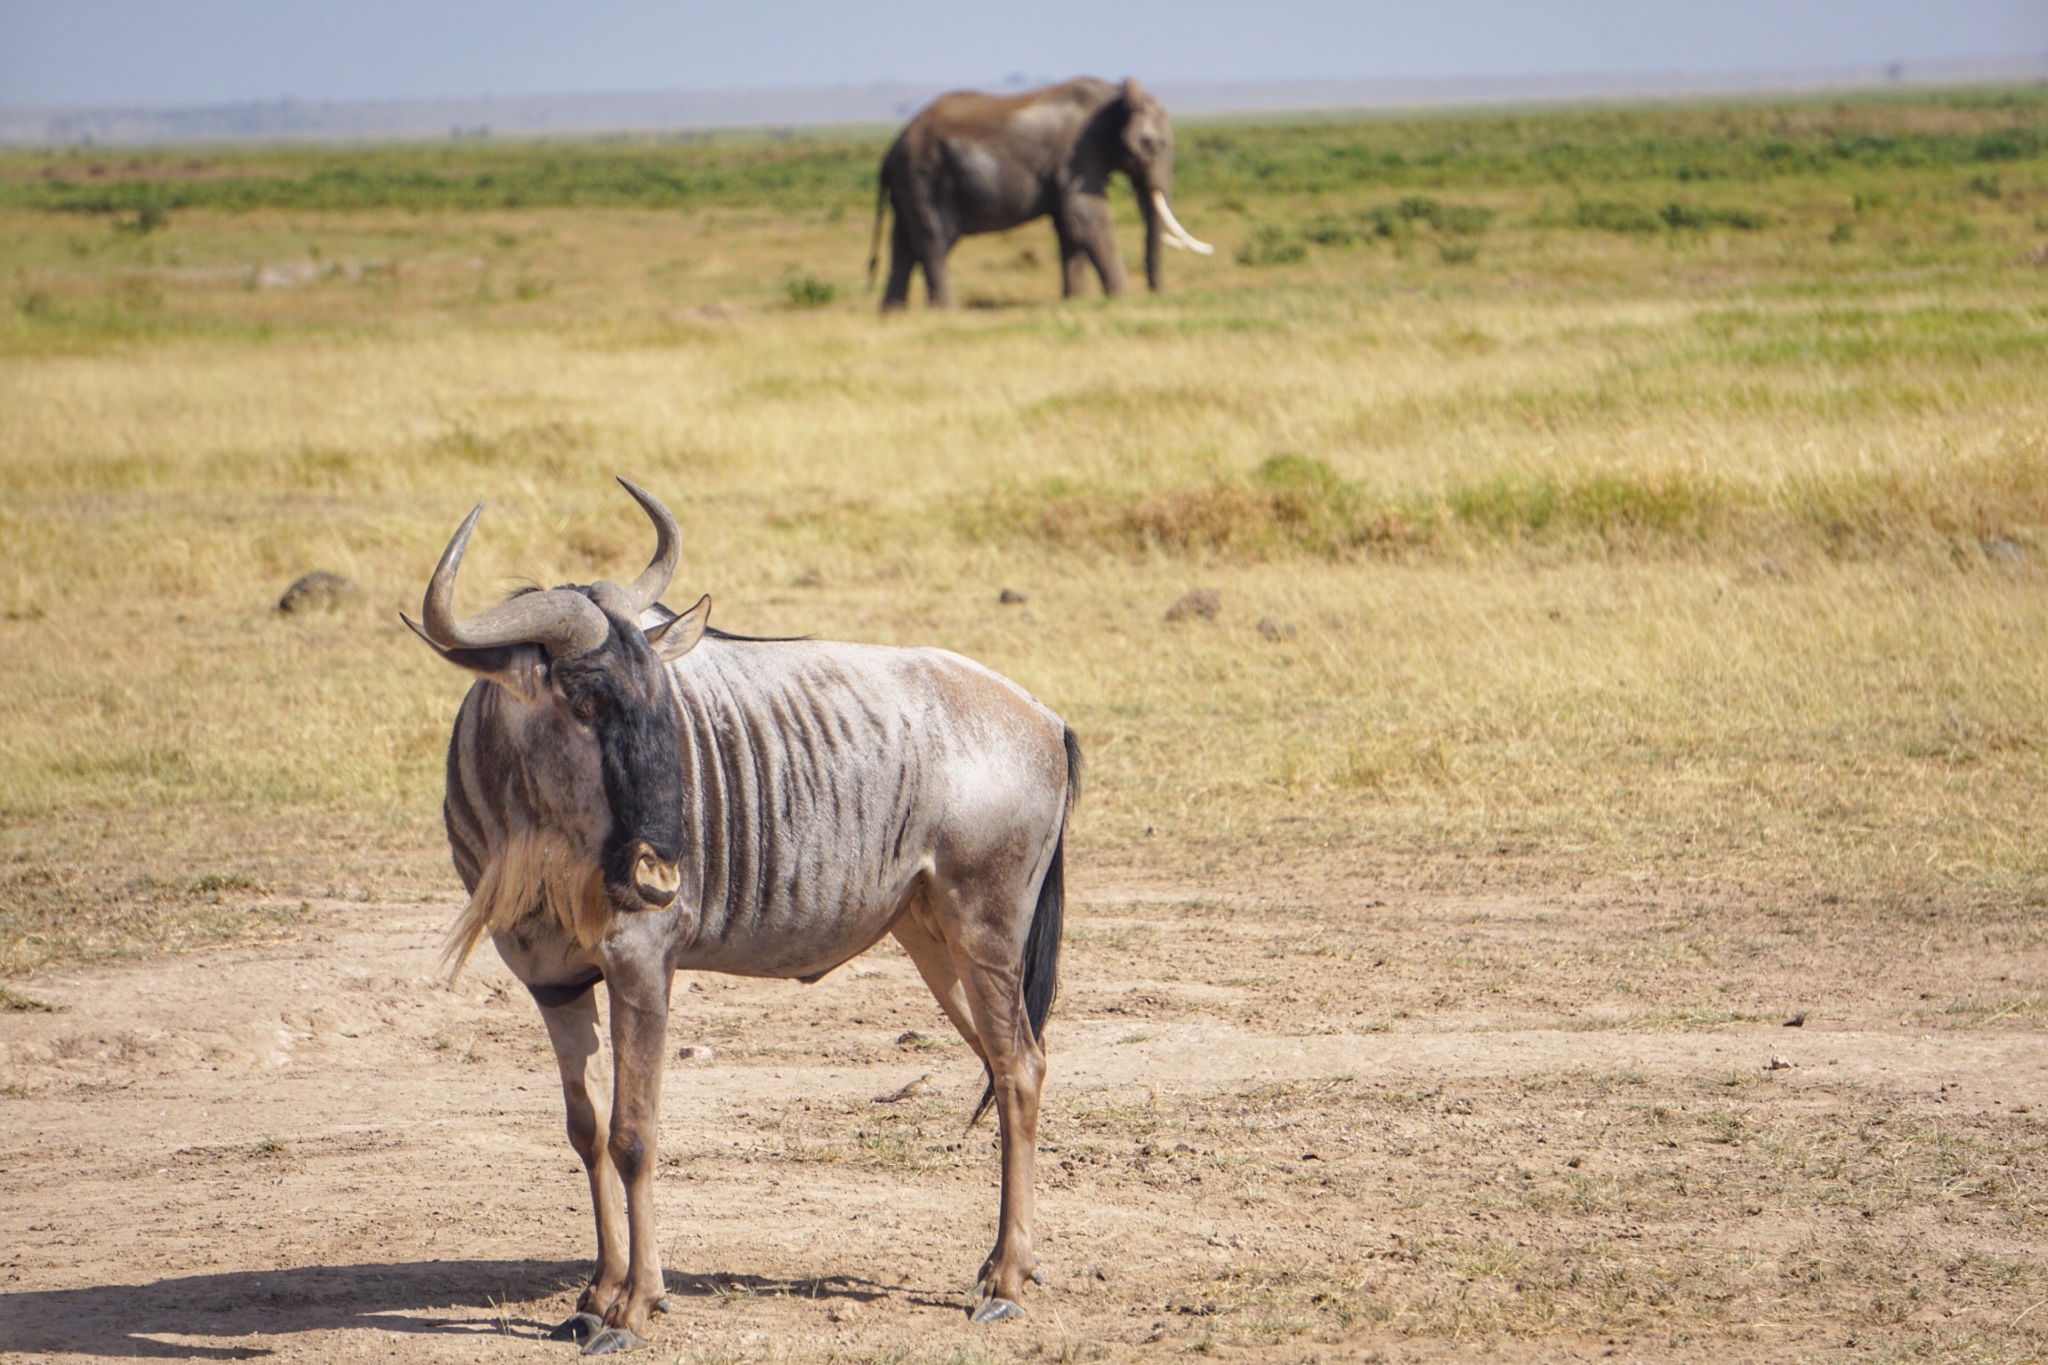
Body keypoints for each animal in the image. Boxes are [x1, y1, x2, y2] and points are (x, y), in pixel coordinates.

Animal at [868, 77, 1212, 309]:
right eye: (1155, 145)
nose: (1156, 295)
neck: (1114, 93)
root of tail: (890, 152)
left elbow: (1069, 227)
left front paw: (1076, 302)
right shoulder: (1079, 155)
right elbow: (1087, 214)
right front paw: (1119, 299)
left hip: (910, 186)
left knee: (904, 246)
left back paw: (893, 314)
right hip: (925, 179)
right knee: (934, 241)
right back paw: (945, 311)